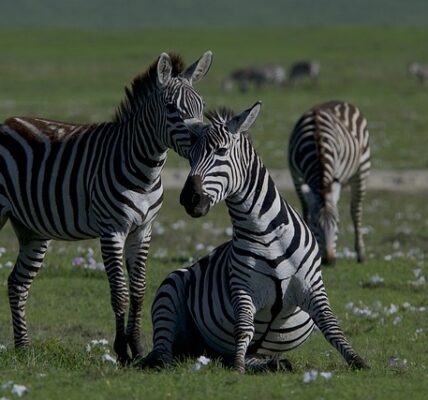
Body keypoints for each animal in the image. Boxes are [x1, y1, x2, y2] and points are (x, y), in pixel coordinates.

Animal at [0, 50, 213, 362]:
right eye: (171, 107)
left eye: (201, 106)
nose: (203, 144)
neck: (146, 170)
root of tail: (7, 122)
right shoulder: (112, 230)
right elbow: (120, 292)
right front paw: (121, 351)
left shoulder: (143, 230)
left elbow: (138, 290)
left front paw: (137, 348)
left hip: (33, 230)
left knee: (18, 283)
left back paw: (23, 348)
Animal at [288, 101, 372, 266]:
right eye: (314, 224)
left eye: (338, 223)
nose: (329, 260)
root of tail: (341, 101)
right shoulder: (296, 178)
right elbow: (306, 210)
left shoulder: (336, 173)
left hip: (362, 170)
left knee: (356, 211)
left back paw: (361, 254)